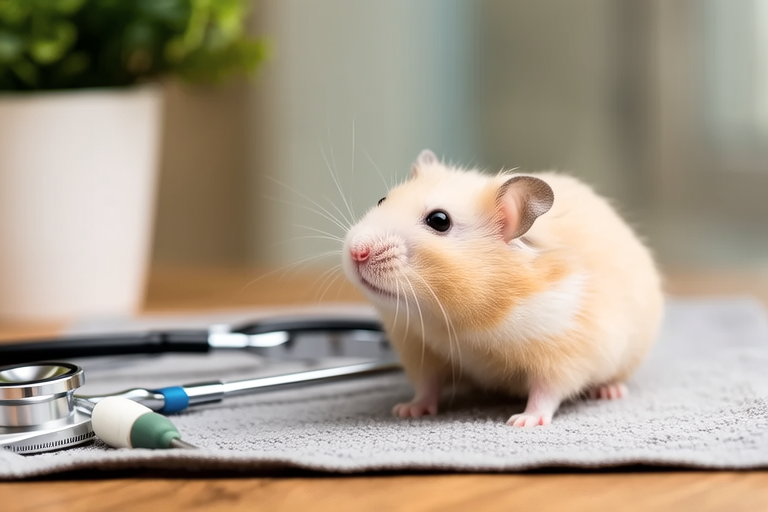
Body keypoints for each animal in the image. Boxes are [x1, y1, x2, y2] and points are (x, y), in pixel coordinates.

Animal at [342, 150, 663, 426]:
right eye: (382, 200)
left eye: (439, 221)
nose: (357, 252)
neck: (453, 320)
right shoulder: (419, 348)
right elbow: (426, 385)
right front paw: (407, 410)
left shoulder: (564, 346)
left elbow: (547, 391)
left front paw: (523, 421)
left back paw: (609, 391)